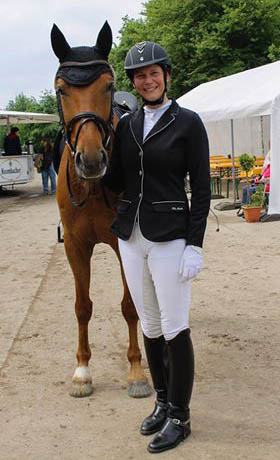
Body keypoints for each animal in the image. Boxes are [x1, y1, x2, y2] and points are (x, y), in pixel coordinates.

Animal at [50, 19, 151, 398]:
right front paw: (82, 371)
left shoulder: (126, 245)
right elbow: (82, 307)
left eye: (108, 85)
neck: (92, 187)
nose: (92, 160)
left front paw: (136, 372)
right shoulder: (76, 246)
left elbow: (129, 306)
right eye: (61, 89)